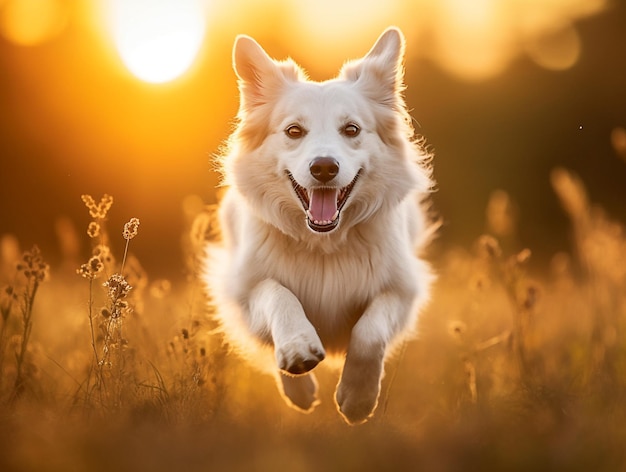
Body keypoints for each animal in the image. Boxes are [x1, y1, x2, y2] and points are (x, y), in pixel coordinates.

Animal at [207, 26, 432, 424]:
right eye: (294, 131)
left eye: (352, 129)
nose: (324, 167)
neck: (324, 244)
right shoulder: (242, 290)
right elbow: (278, 293)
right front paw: (297, 352)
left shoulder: (404, 289)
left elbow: (369, 332)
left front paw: (357, 399)